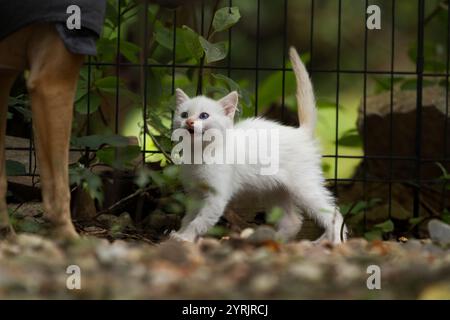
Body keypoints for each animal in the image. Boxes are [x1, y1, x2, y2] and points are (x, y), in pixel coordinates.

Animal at [171, 47, 346, 242]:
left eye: (204, 116)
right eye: (184, 115)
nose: (189, 122)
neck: (199, 153)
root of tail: (300, 132)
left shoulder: (216, 197)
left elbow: (199, 221)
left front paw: (185, 237)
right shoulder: (194, 193)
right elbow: (188, 217)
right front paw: (180, 233)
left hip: (304, 184)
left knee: (334, 213)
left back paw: (334, 242)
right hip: (275, 189)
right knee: (293, 221)